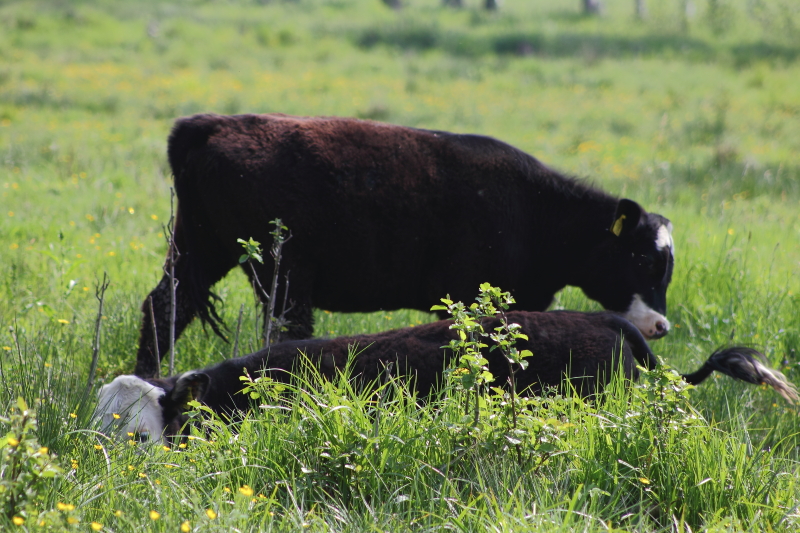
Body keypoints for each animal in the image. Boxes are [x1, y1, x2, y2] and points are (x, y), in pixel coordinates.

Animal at [136, 114, 676, 376]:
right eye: (643, 258)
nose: (660, 325)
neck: (534, 212)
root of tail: (212, 123)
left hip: (200, 247)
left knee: (163, 307)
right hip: (281, 272)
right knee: (285, 333)